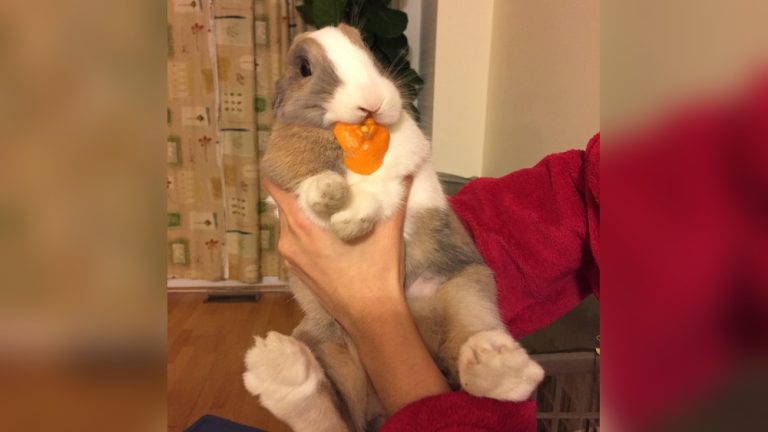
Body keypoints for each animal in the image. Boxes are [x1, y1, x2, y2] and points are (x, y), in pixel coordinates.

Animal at [243, 24, 544, 432]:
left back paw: (500, 365)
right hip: (327, 341)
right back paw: (277, 365)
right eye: (304, 68)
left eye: (367, 49)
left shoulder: (404, 157)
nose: (370, 101)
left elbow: (384, 184)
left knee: (468, 348)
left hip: (464, 288)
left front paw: (352, 220)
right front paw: (327, 193)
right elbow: (309, 183)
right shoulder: (283, 169)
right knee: (327, 414)